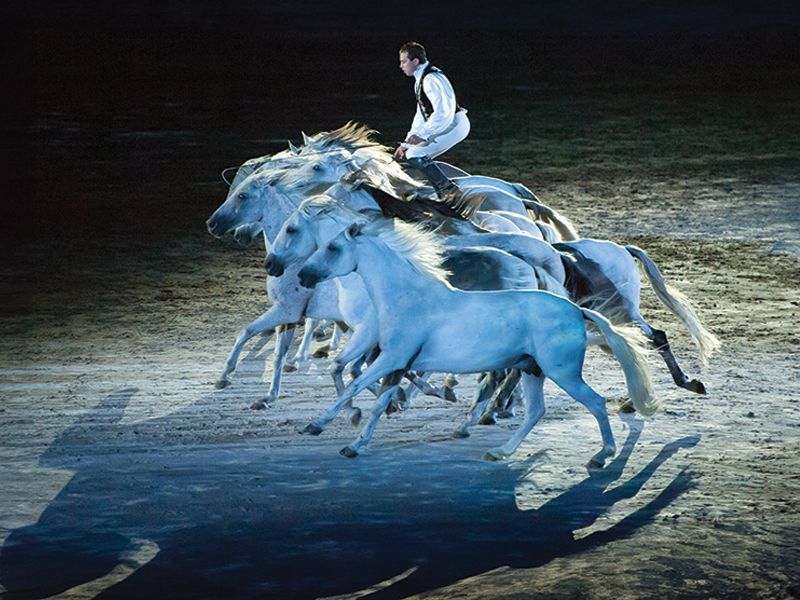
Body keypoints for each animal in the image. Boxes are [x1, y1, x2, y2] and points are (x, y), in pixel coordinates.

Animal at [296, 217, 659, 465]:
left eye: (333, 247)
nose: (302, 275)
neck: (407, 296)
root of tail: (576, 309)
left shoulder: (392, 358)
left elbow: (356, 388)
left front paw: (317, 425)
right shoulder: (398, 364)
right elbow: (376, 400)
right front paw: (354, 443)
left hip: (562, 372)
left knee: (595, 402)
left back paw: (602, 455)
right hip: (532, 370)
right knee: (535, 410)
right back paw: (500, 450)